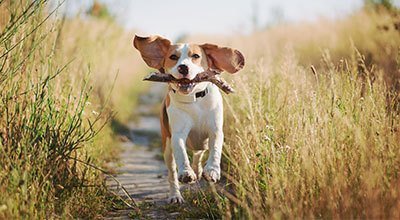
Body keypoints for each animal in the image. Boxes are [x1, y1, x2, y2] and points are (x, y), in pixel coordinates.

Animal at [133, 35, 244, 204]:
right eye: (173, 57)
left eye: (196, 56)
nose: (183, 68)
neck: (194, 100)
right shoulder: (177, 134)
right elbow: (181, 153)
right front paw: (186, 172)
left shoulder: (215, 131)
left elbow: (215, 149)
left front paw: (212, 170)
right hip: (167, 148)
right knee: (172, 172)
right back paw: (175, 195)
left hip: (201, 143)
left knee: (198, 154)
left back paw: (199, 171)